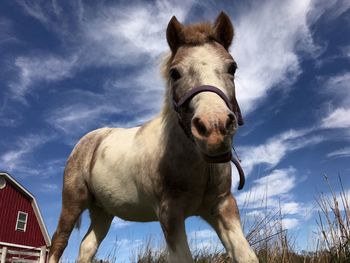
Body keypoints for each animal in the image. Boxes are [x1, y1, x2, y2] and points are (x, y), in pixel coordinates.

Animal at [47, 11, 258, 262]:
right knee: (58, 242)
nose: (214, 128)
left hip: (102, 211)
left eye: (232, 67)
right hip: (72, 202)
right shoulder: (170, 213)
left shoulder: (222, 206)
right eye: (174, 73)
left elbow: (247, 256)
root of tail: (87, 140)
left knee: (87, 247)